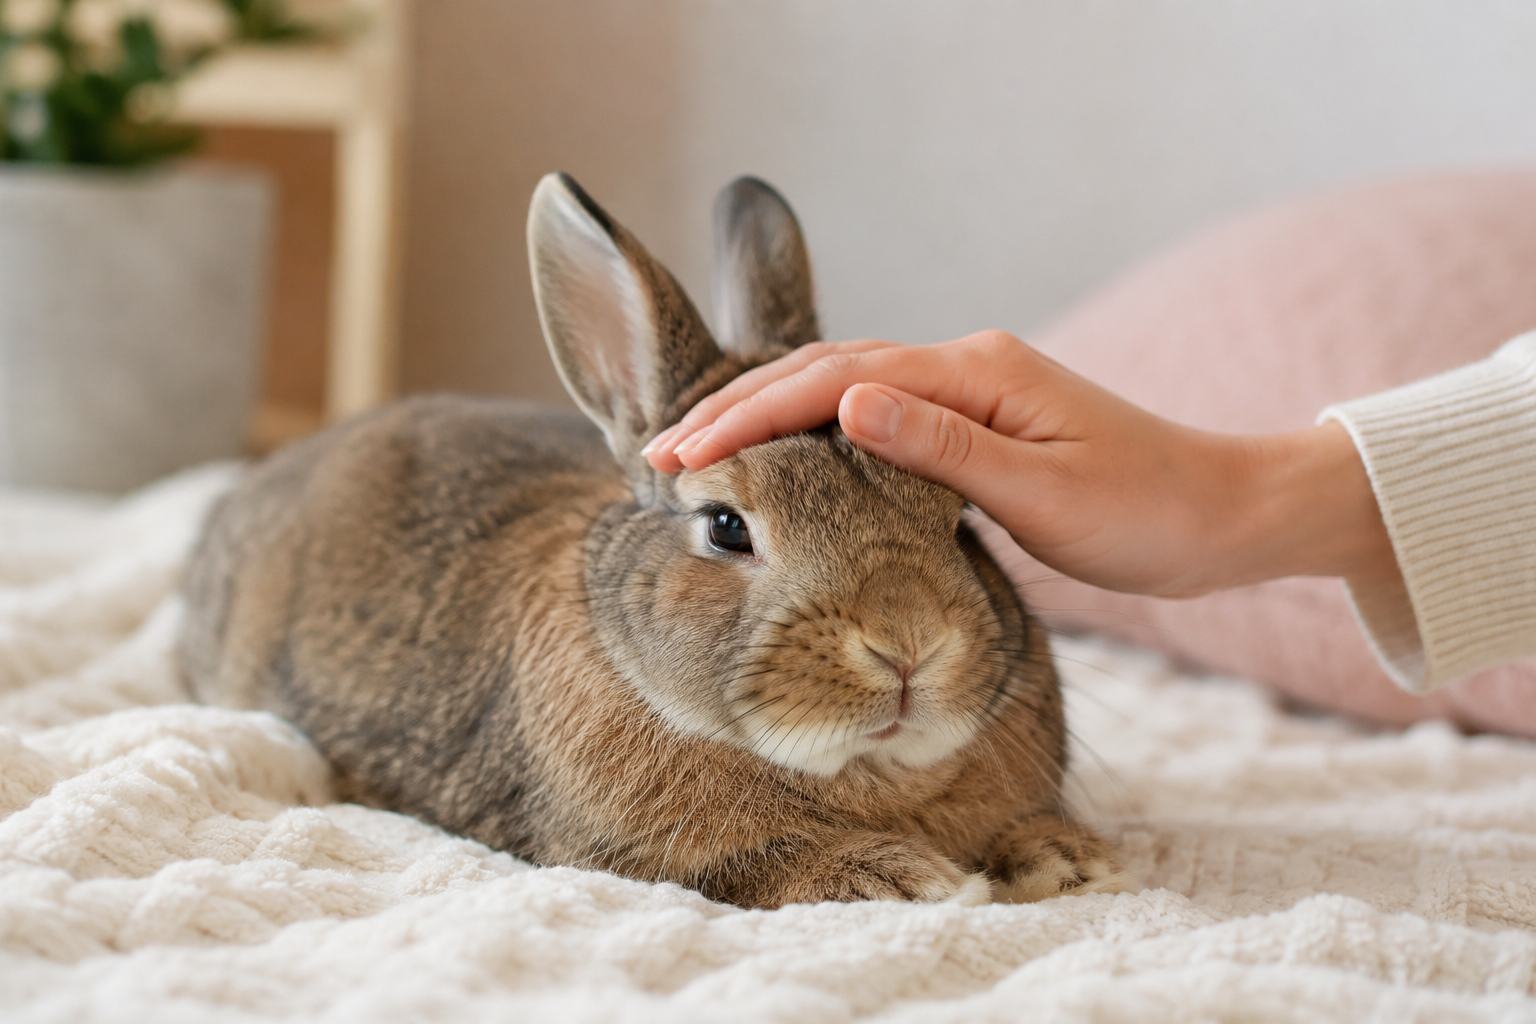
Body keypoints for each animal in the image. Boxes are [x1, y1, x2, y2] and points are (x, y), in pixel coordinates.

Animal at [179, 172, 1124, 908]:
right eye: (726, 528)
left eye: (961, 521)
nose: (908, 646)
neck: (871, 775)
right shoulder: (629, 856)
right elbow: (766, 862)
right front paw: (907, 879)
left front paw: (1070, 858)